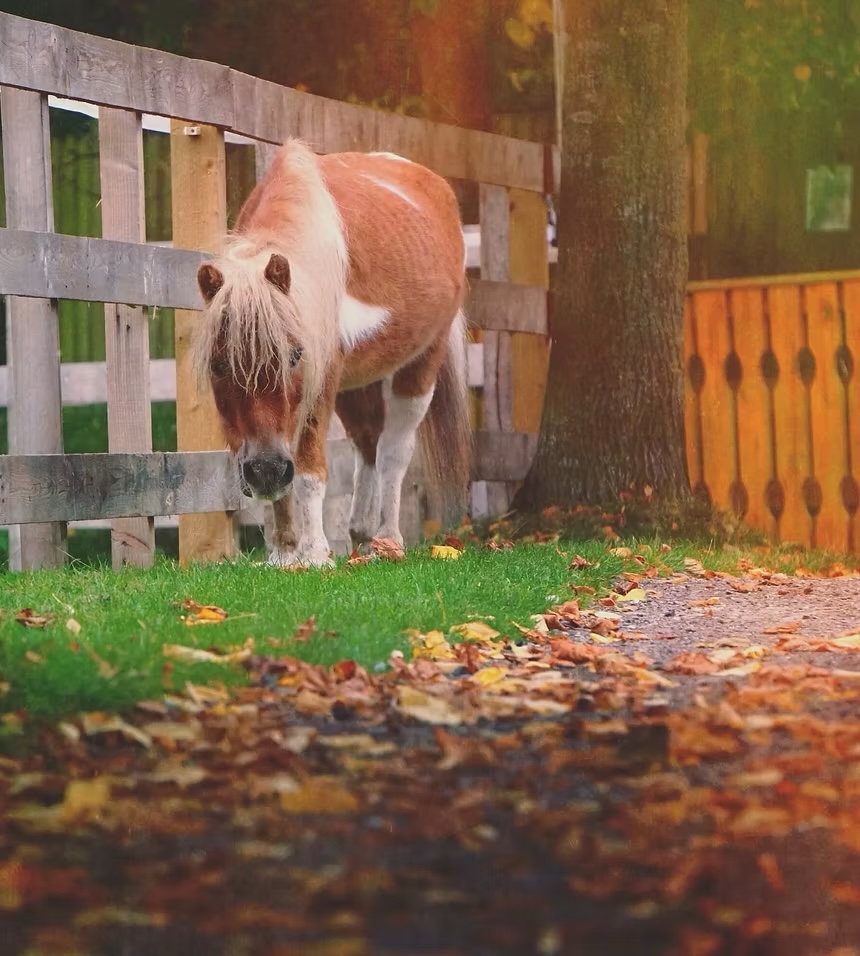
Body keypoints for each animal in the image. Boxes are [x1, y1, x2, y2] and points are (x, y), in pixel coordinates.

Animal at [193, 138, 471, 567]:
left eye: (295, 356)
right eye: (220, 365)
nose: (265, 471)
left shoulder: (321, 379)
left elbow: (309, 470)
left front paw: (315, 554)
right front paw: (284, 554)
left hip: (421, 365)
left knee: (394, 453)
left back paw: (389, 540)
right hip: (356, 384)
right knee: (368, 443)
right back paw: (362, 534)